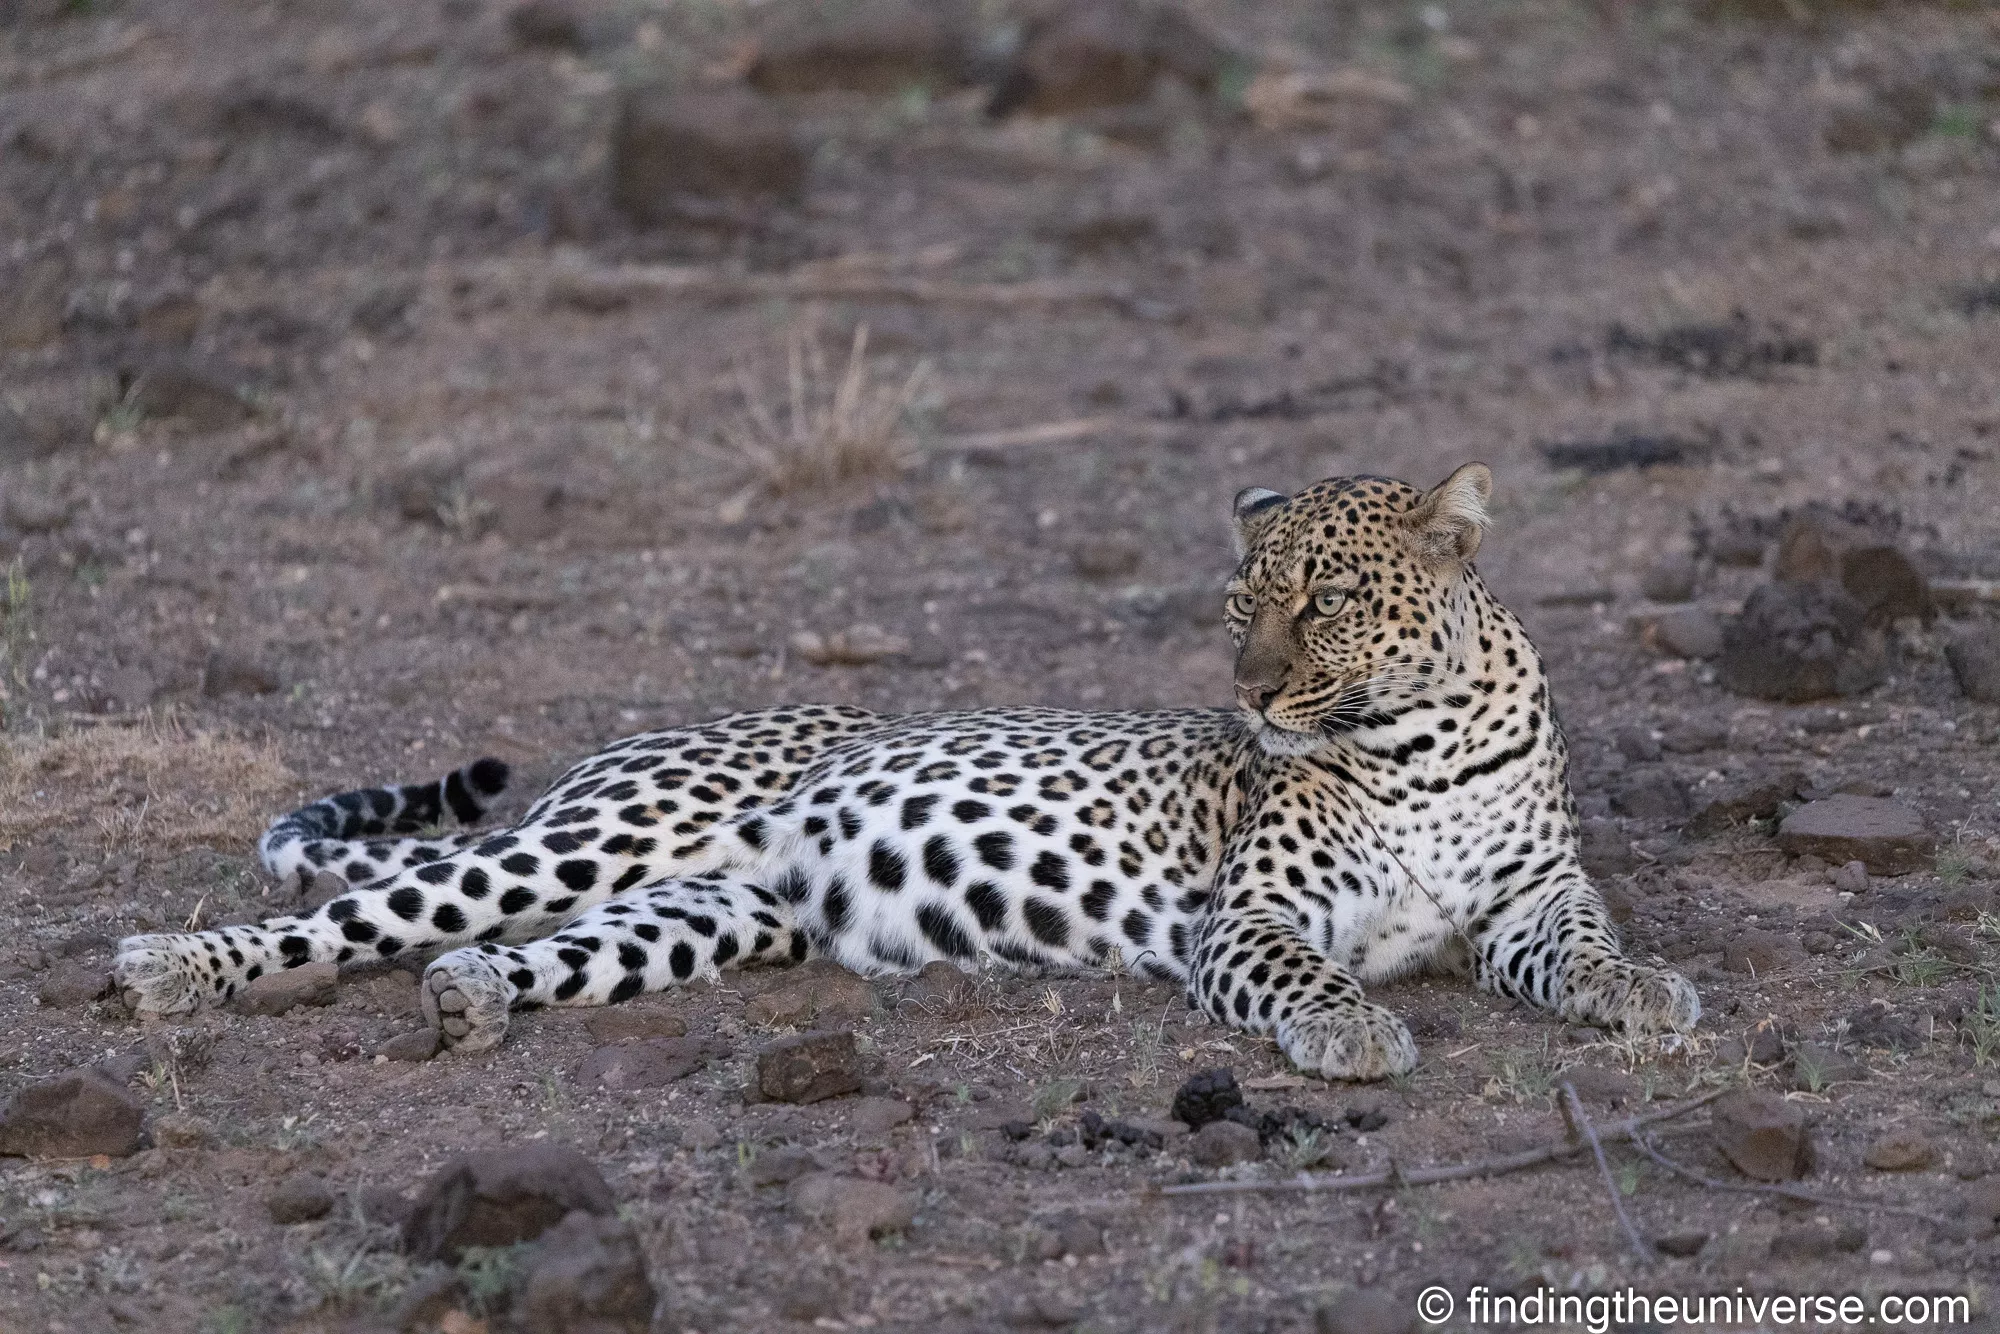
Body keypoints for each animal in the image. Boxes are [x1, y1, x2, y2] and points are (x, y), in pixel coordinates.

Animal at [112, 463, 1699, 1080]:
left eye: (1324, 602)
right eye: (1238, 605)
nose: (1246, 691)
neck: (1418, 743)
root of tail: (602, 757)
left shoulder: (1530, 895)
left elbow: (1583, 942)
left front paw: (1644, 993)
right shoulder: (1248, 915)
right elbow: (1302, 969)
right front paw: (1353, 1029)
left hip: (702, 917)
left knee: (517, 944)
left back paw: (472, 997)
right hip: (588, 839)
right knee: (351, 916)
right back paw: (169, 966)